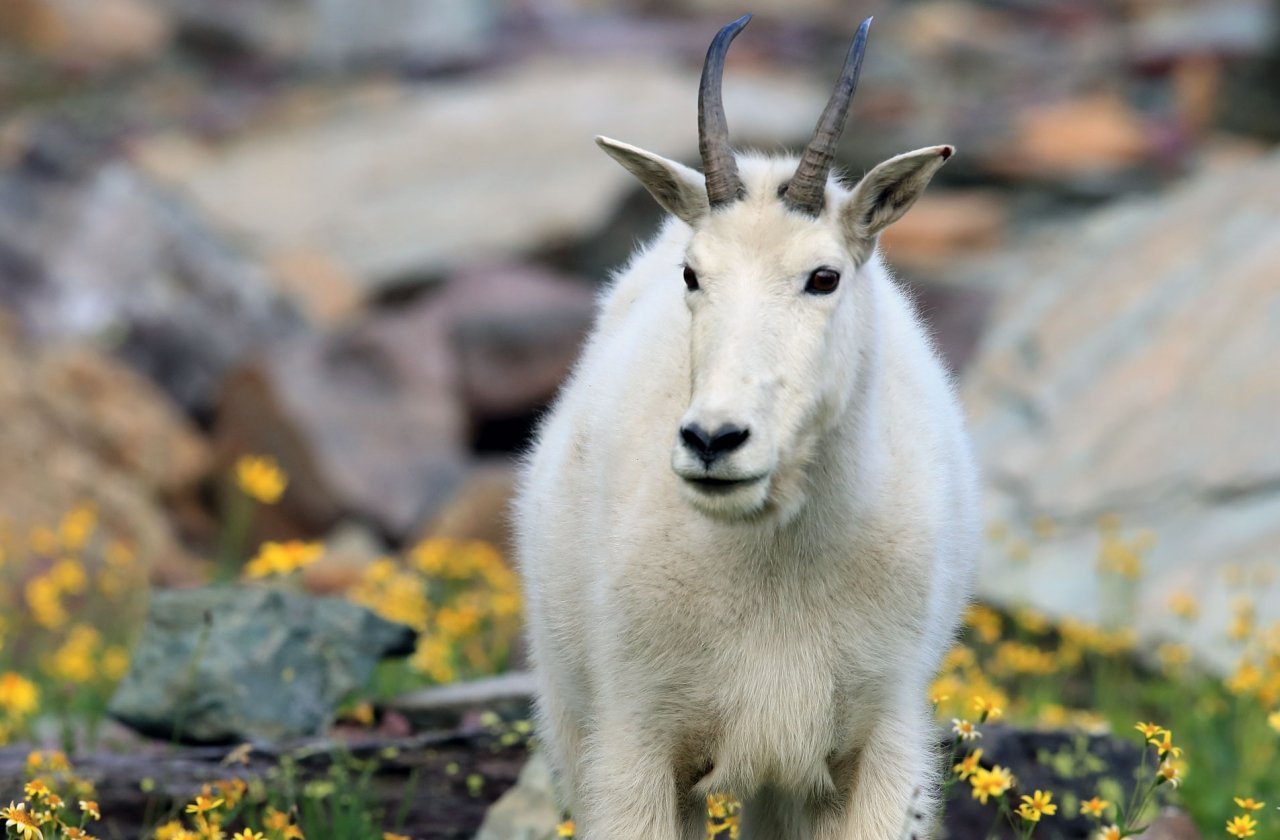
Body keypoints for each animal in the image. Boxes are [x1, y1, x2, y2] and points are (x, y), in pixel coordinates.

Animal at [514, 14, 972, 840]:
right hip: (573, 703)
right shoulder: (639, 740)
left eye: (824, 276)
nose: (713, 441)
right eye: (693, 274)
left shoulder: (875, 743)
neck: (773, 560)